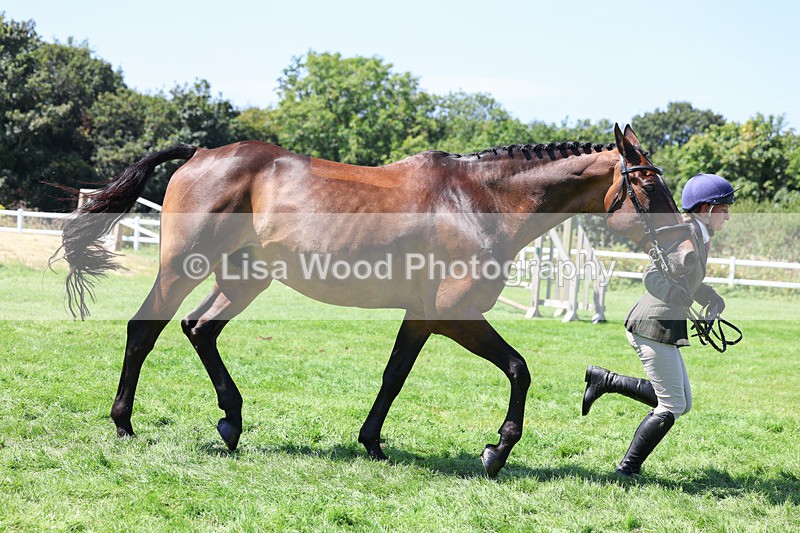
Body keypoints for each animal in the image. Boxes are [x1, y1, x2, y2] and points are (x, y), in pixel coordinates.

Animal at [56, 124, 698, 477]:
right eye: (648, 183)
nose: (690, 253)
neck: (480, 201)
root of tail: (200, 154)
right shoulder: (455, 316)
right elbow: (519, 368)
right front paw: (497, 451)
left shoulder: (422, 317)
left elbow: (394, 376)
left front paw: (371, 442)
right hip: (182, 267)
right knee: (145, 329)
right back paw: (125, 424)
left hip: (245, 277)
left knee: (199, 329)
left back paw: (231, 420)